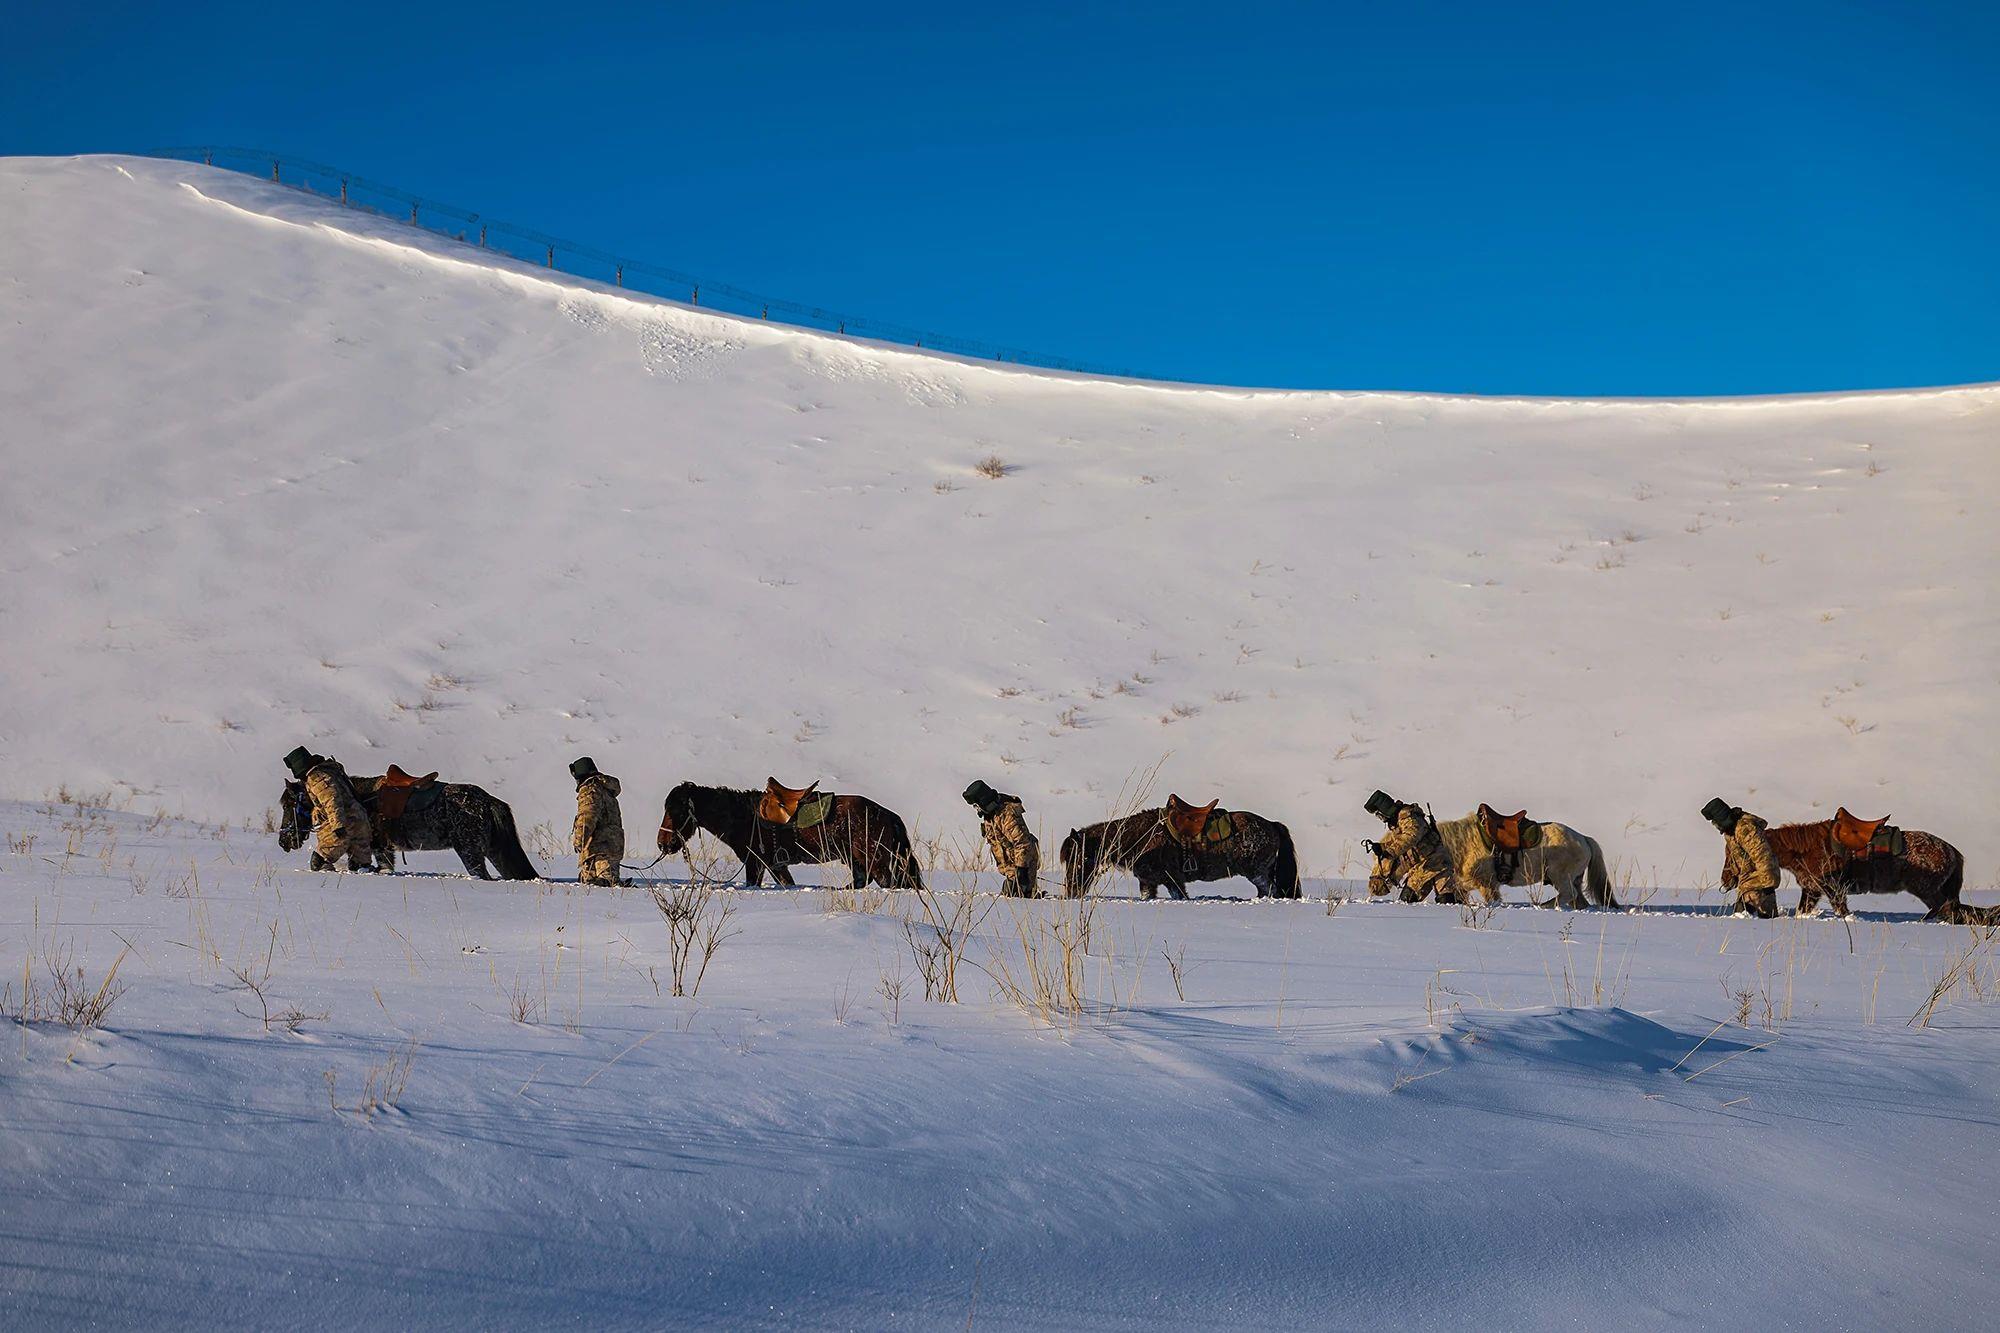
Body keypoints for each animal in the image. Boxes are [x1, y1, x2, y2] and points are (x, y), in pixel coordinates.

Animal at [278, 768, 540, 880]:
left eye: (287, 804)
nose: (284, 841)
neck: (360, 796)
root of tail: (489, 801)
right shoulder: (382, 849)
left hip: (470, 851)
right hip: (493, 851)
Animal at [664, 780, 928, 892]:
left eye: (676, 811)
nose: (663, 843)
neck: (744, 816)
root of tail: (887, 815)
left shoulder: (755, 863)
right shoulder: (775, 865)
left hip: (877, 860)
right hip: (857, 860)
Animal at [1056, 792, 1304, 896]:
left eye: (1080, 858)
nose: (1071, 891)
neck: (1141, 837)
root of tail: (1272, 825)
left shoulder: (1173, 881)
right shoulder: (1149, 882)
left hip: (1257, 873)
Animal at [1728, 808, 1992, 924]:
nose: (1730, 877)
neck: (1805, 849)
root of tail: (1952, 851)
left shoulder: (1831, 886)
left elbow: (1840, 907)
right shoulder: (1812, 888)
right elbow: (1805, 908)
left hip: (1925, 888)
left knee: (1942, 906)